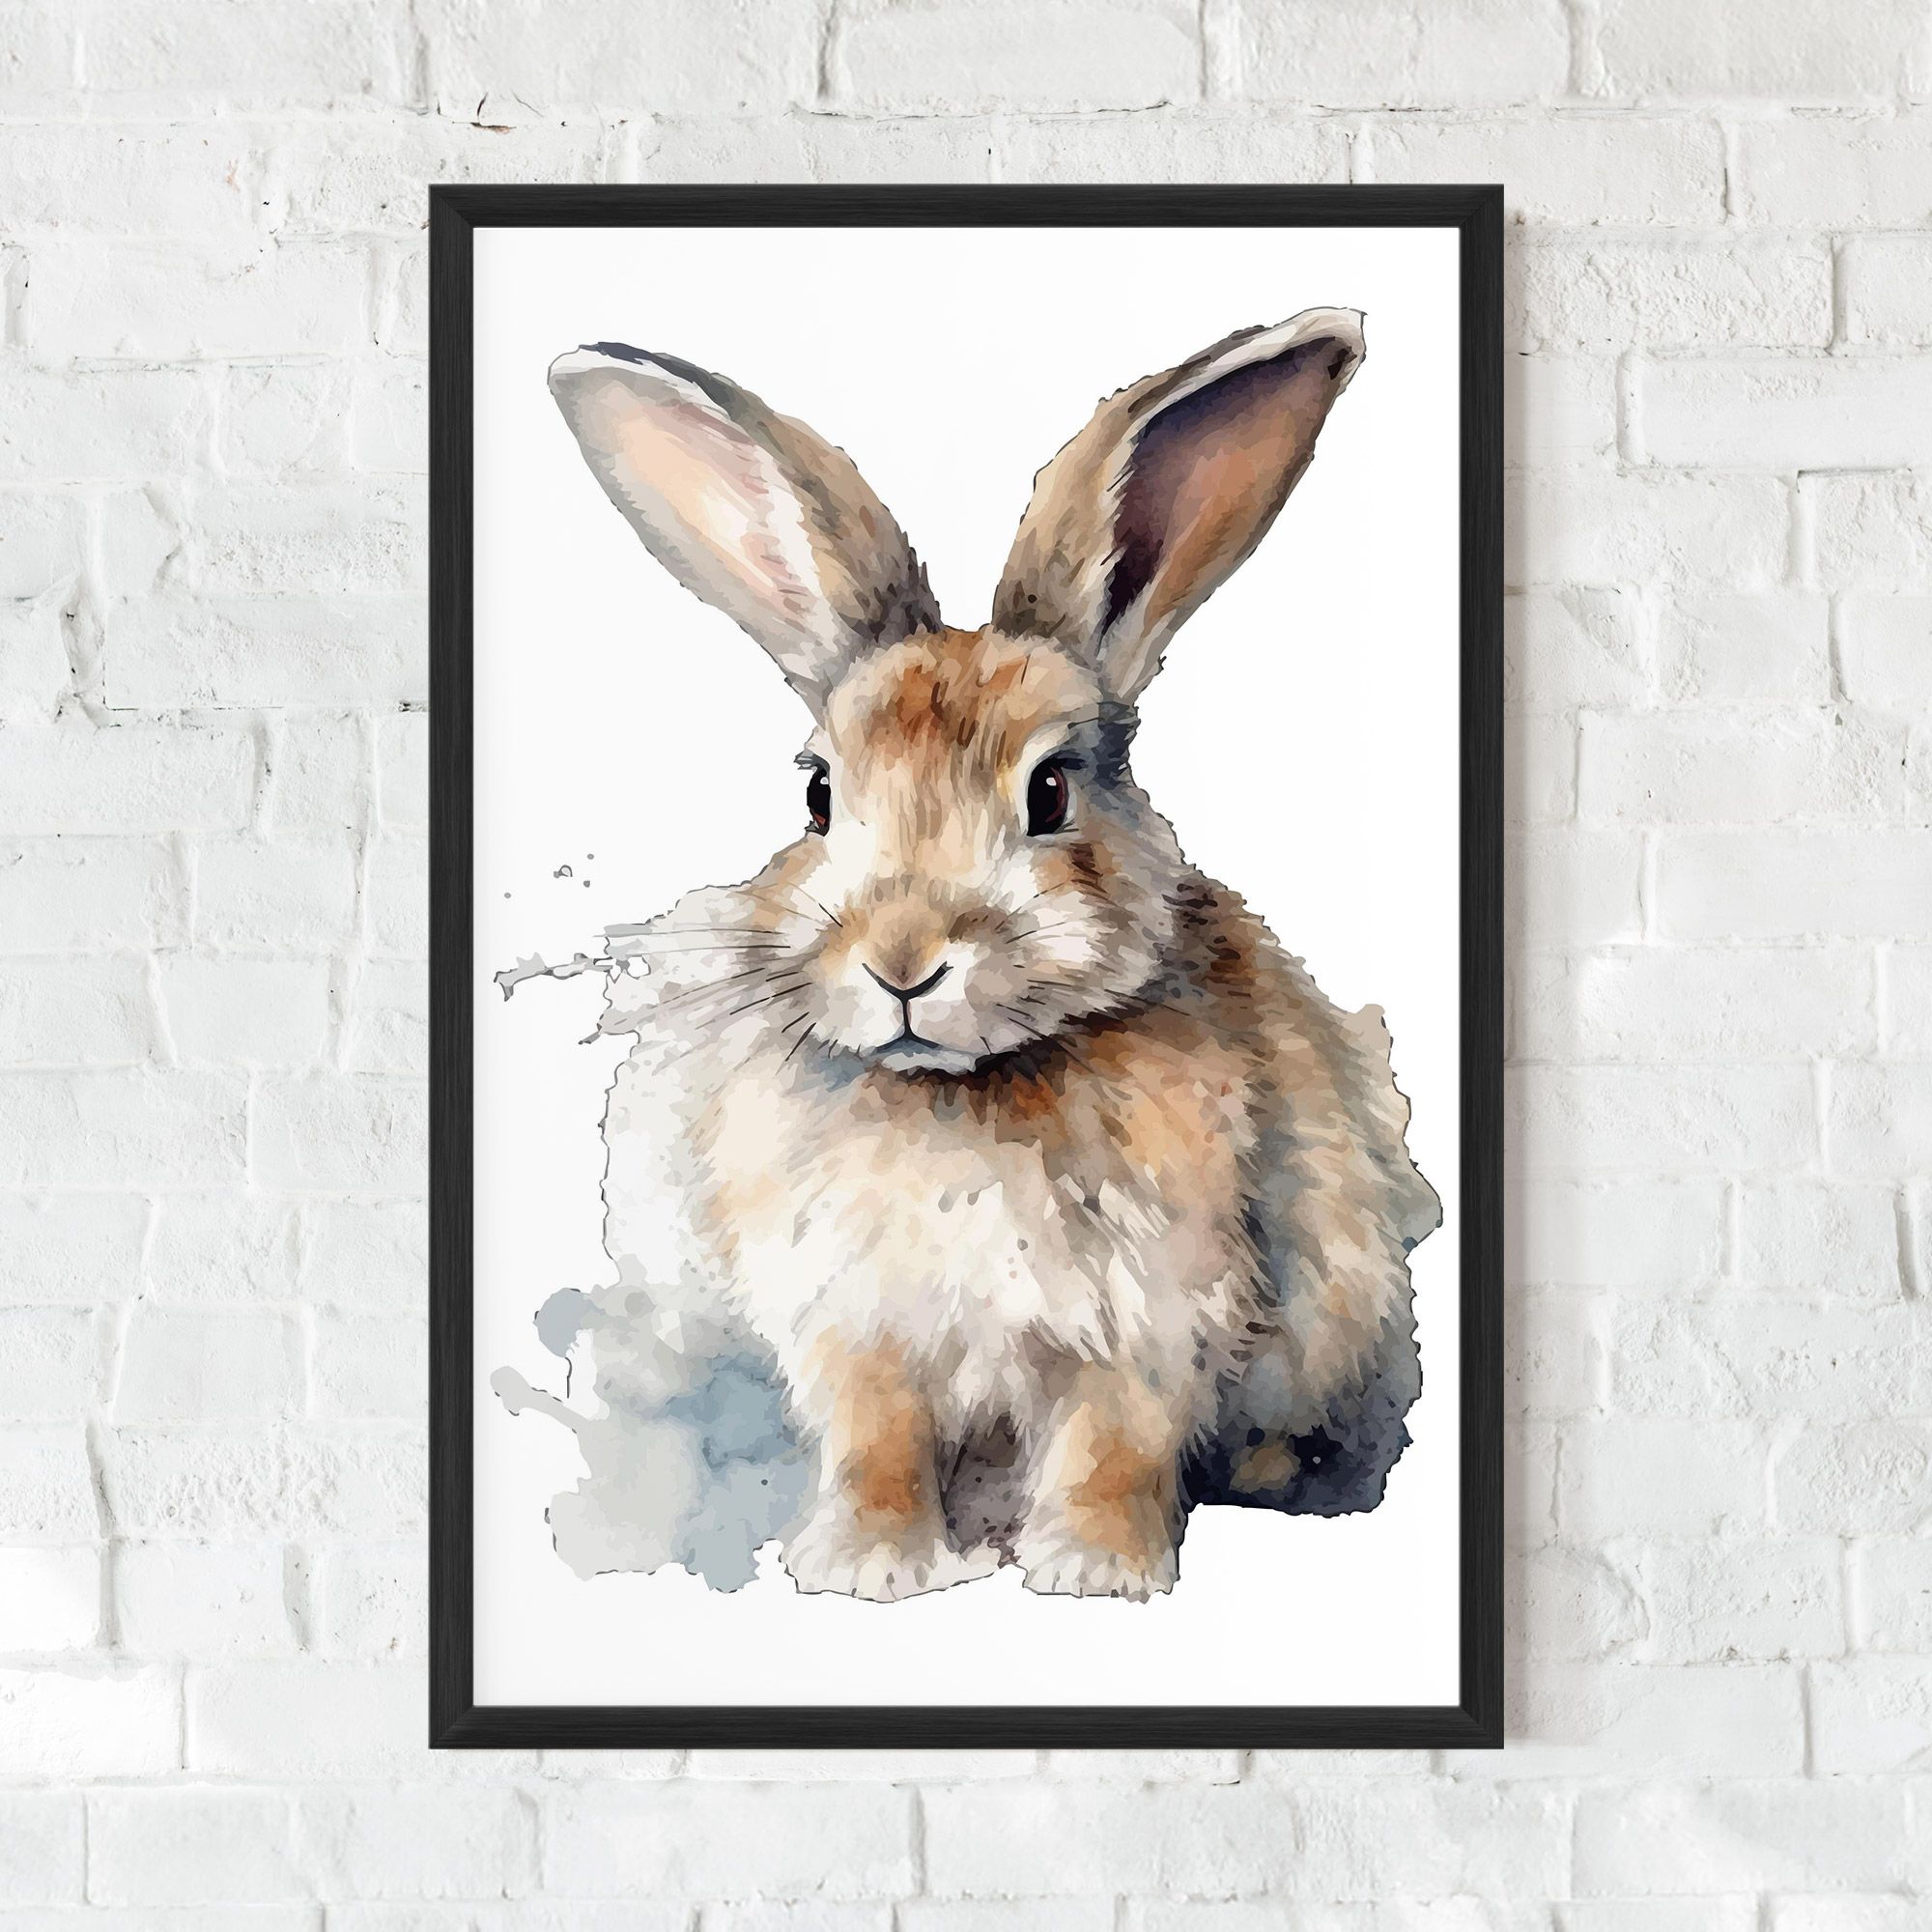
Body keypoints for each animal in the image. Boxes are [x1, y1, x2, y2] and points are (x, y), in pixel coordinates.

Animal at [546, 309, 1441, 1602]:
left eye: (1051, 789)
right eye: (819, 795)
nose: (903, 961)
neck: (960, 1090)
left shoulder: (1149, 1319)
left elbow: (1112, 1444)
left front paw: (1097, 1573)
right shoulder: (860, 1327)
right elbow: (877, 1441)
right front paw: (866, 1567)